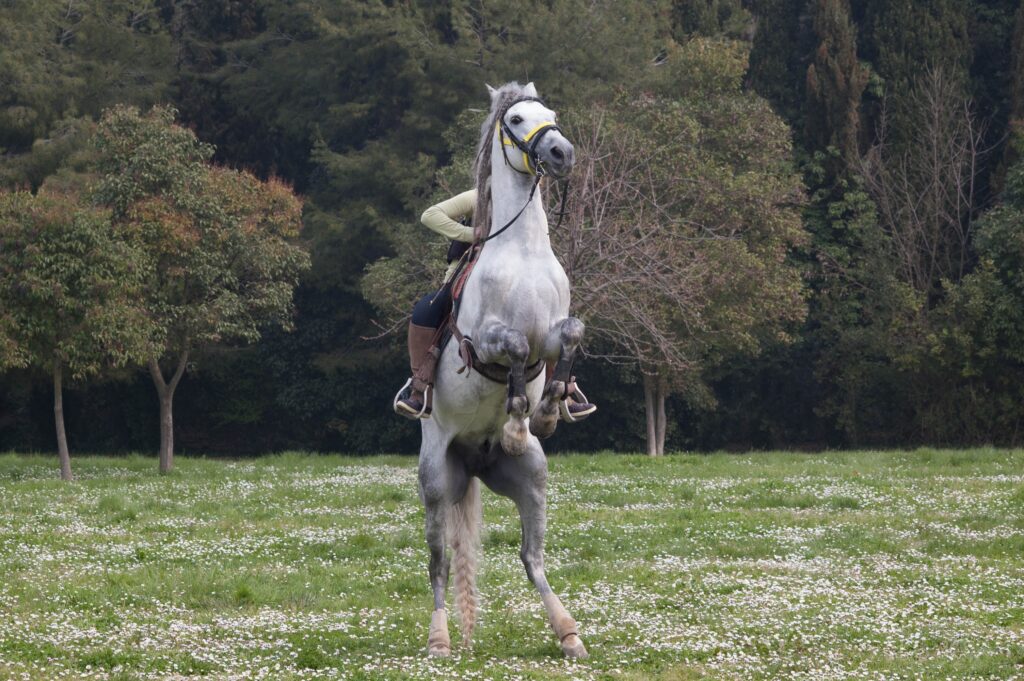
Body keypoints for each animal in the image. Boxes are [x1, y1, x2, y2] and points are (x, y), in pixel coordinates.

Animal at [417, 81, 589, 659]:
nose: (561, 152)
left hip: (531, 477)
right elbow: (512, 346)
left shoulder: (554, 330)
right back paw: (440, 639)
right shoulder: (486, 340)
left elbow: (569, 335)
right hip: (435, 481)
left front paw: (552, 407)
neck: (524, 251)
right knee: (440, 561)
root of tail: (471, 460)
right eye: (515, 119)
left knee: (530, 557)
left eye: (551, 113)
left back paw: (569, 634)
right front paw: (517, 419)